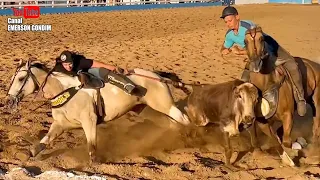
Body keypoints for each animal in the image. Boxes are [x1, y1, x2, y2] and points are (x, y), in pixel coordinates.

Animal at [6, 59, 190, 163]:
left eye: (21, 79)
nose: (9, 100)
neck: (65, 90)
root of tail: (157, 76)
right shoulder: (60, 124)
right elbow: (45, 141)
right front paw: (28, 153)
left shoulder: (89, 121)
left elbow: (92, 145)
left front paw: (94, 161)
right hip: (145, 109)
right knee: (172, 124)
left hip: (164, 105)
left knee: (184, 120)